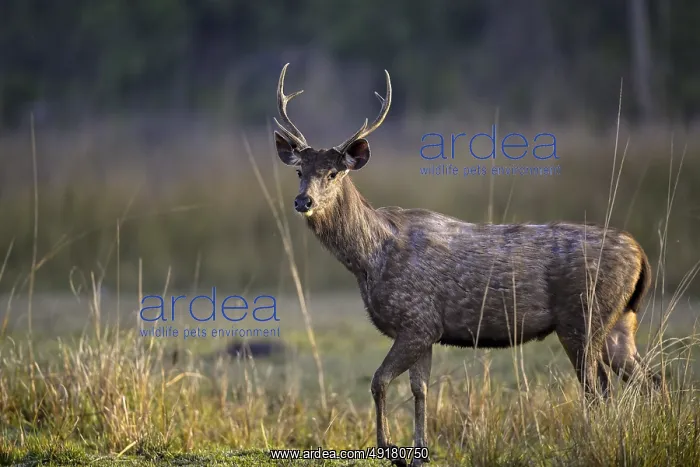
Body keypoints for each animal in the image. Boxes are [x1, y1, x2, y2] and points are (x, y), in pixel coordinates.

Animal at [271, 63, 665, 467]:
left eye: (334, 173)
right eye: (299, 171)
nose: (303, 201)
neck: (370, 261)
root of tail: (640, 254)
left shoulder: (416, 321)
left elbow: (379, 381)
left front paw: (390, 450)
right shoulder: (426, 330)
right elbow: (420, 388)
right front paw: (418, 453)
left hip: (582, 318)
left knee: (599, 388)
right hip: (620, 321)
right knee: (649, 379)